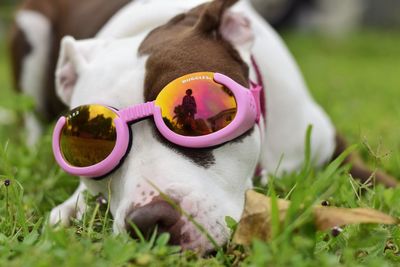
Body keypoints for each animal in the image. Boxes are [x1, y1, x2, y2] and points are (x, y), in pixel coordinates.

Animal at [9, 0, 396, 253]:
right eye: (95, 147)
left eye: (198, 122)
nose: (149, 221)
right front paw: (71, 211)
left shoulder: (331, 149)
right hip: (31, 27)